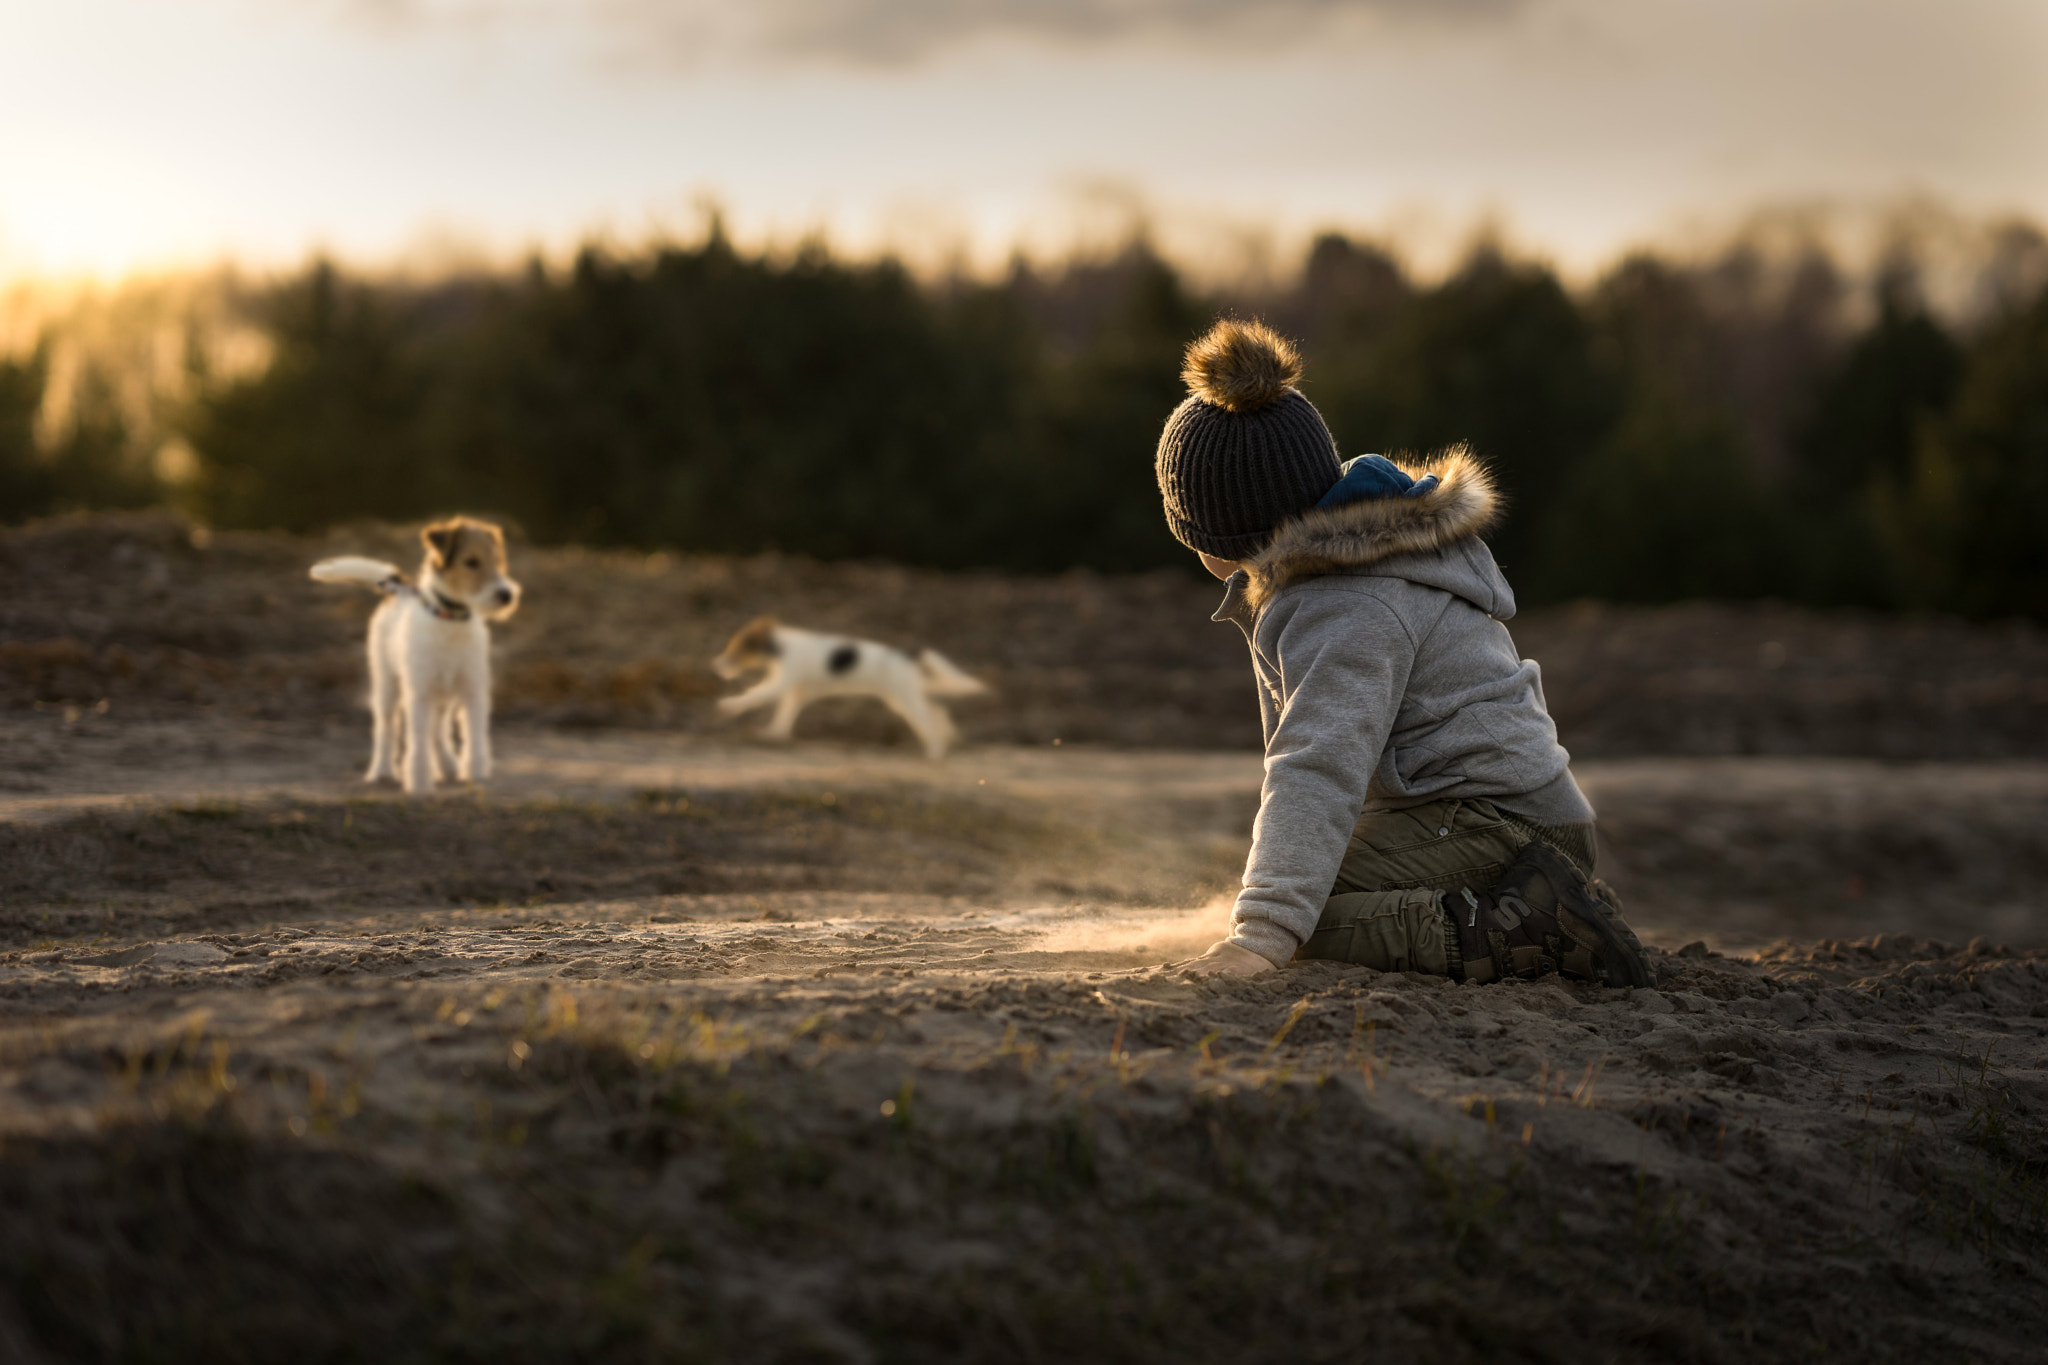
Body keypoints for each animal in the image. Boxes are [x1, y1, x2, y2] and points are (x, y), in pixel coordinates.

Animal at [311, 517, 524, 794]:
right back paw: (381, 771)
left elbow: (475, 737)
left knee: (437, 731)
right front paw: (420, 782)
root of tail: (398, 588)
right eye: (471, 562)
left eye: (498, 561)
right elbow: (417, 742)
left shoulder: (473, 692)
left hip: (443, 697)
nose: (506, 595)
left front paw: (475, 773)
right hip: (388, 688)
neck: (450, 621)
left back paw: (448, 766)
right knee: (386, 730)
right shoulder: (418, 694)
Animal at [712, 618, 983, 757]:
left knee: (928, 718)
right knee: (937, 710)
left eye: (736, 651)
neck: (780, 648)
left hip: (905, 698)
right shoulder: (796, 693)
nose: (717, 663)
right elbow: (784, 715)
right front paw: (773, 734)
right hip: (901, 698)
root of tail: (909, 656)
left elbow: (754, 695)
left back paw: (935, 751)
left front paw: (728, 706)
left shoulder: (780, 683)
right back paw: (948, 738)